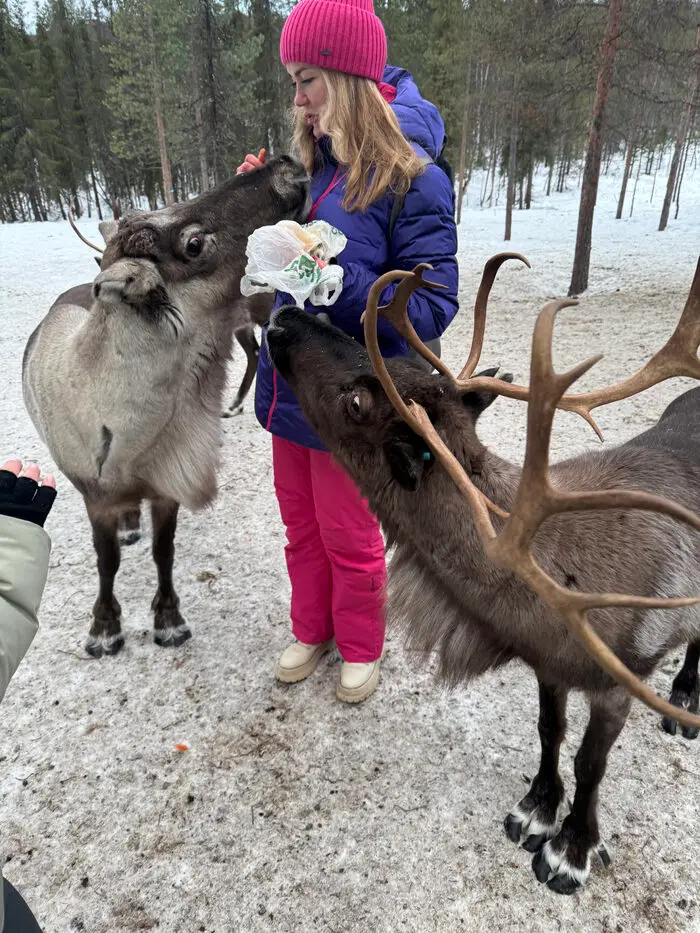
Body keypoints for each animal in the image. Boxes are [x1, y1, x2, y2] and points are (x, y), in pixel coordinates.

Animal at [23, 156, 310, 658]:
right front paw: (104, 627)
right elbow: (106, 561)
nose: (286, 164)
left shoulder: (167, 486)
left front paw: (169, 620)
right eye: (193, 243)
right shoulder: (95, 494)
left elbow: (165, 552)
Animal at [264, 253, 700, 894]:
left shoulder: (618, 679)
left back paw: (686, 699)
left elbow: (591, 763)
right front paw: (535, 810)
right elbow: (549, 731)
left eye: (356, 403)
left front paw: (571, 850)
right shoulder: (548, 665)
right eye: (401, 362)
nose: (285, 316)